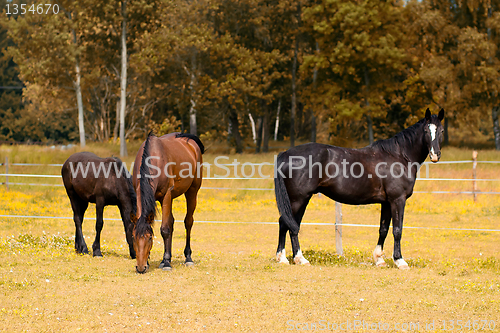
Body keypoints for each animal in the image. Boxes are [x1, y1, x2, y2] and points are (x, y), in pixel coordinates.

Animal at [133, 132, 205, 272]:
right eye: (133, 237)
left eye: (150, 238)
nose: (141, 267)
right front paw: (155, 261)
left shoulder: (166, 196)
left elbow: (165, 230)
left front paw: (166, 263)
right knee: (171, 222)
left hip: (192, 191)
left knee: (188, 222)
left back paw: (188, 258)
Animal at [276, 107, 444, 268]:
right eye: (426, 131)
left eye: (441, 130)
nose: (435, 154)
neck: (399, 157)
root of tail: (286, 153)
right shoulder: (398, 200)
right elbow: (397, 230)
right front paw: (399, 260)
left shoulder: (386, 202)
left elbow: (383, 229)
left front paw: (379, 259)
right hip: (298, 199)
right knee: (286, 223)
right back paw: (291, 258)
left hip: (301, 199)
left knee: (292, 224)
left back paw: (292, 258)